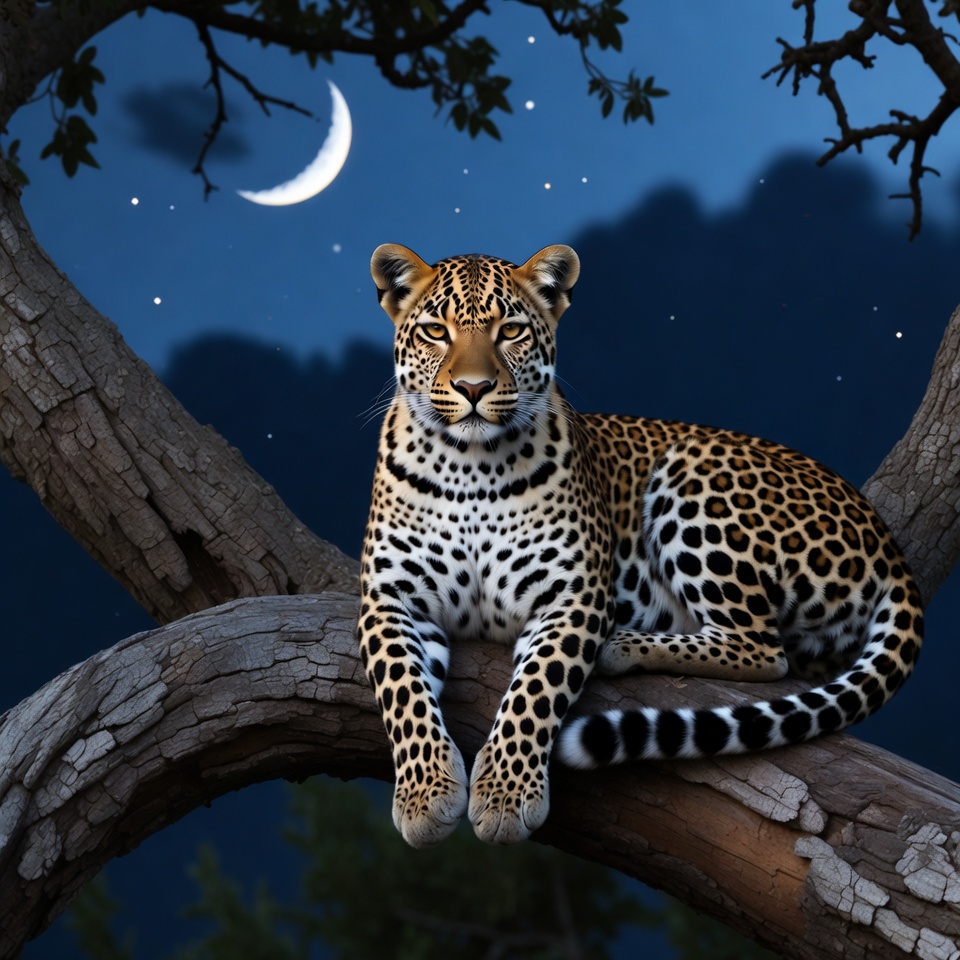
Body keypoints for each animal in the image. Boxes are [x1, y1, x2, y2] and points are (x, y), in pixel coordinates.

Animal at [357, 242, 923, 849]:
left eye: (510, 330)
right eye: (436, 332)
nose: (472, 388)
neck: (468, 466)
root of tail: (885, 540)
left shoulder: (573, 598)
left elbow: (535, 691)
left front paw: (506, 795)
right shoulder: (388, 599)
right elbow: (402, 689)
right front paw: (427, 793)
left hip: (693, 473)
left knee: (762, 648)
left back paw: (626, 644)